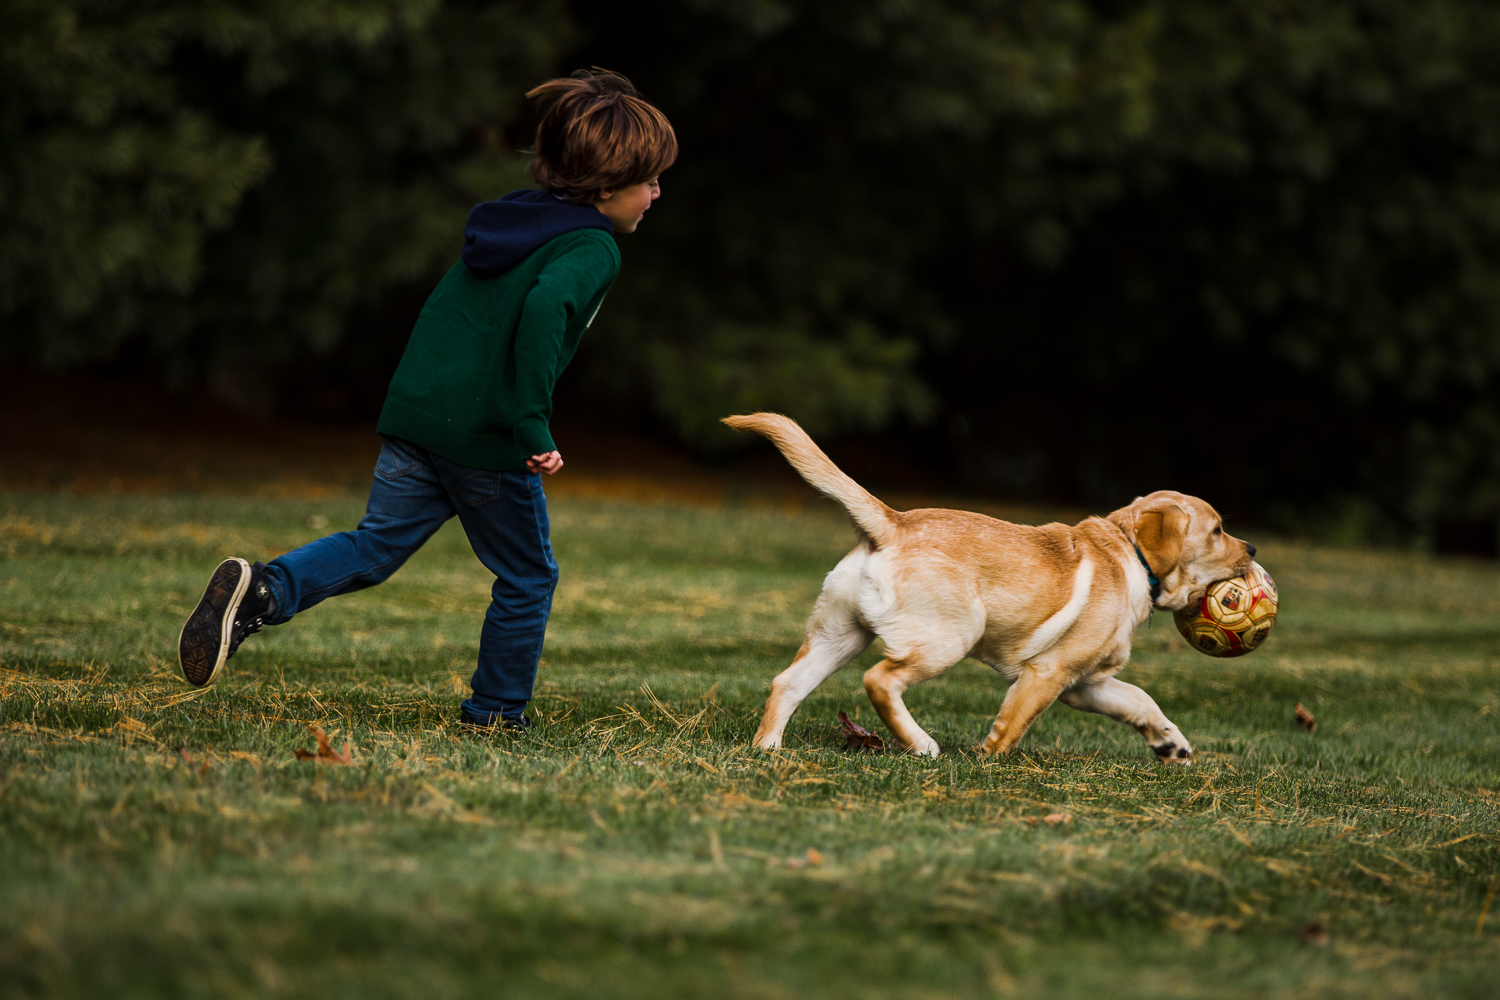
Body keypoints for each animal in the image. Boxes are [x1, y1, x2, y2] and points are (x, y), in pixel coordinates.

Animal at [726, 410, 1254, 761]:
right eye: (1217, 530)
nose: (1252, 549)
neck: (1130, 554)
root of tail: (892, 523)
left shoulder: (1085, 682)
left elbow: (1140, 700)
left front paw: (1171, 743)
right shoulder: (1047, 672)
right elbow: (1012, 726)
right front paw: (988, 764)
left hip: (840, 634)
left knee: (788, 683)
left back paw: (767, 750)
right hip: (951, 635)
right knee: (880, 680)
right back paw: (922, 744)